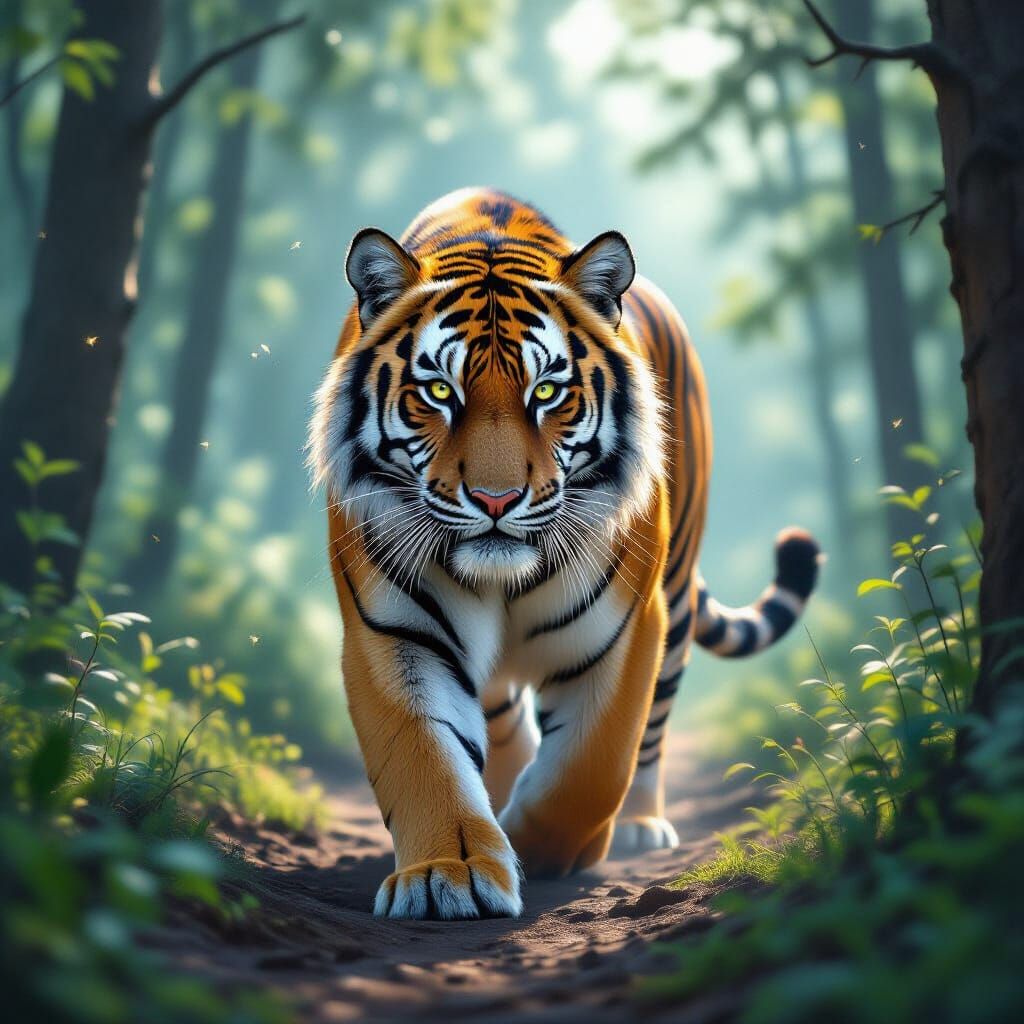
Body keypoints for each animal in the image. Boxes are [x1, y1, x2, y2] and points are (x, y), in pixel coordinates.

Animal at [308, 188, 820, 920]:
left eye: (547, 392)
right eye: (439, 391)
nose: (495, 499)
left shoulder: (627, 629)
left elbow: (592, 765)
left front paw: (538, 843)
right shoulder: (396, 633)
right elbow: (426, 757)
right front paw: (446, 875)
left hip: (677, 597)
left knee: (651, 732)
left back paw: (637, 826)